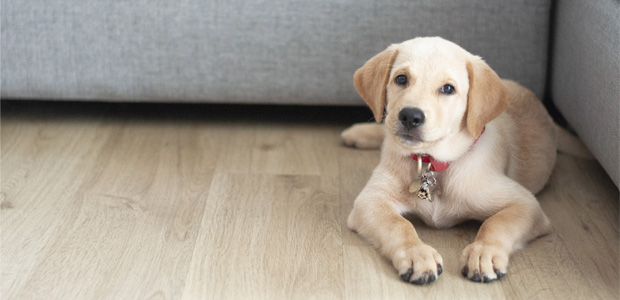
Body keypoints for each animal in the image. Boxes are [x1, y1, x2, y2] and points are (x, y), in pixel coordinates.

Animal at [342, 38, 560, 286]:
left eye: (448, 89)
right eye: (401, 79)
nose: (410, 116)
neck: (433, 163)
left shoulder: (526, 204)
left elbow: (497, 223)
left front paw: (483, 253)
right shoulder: (370, 201)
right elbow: (399, 225)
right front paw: (417, 254)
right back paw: (357, 133)